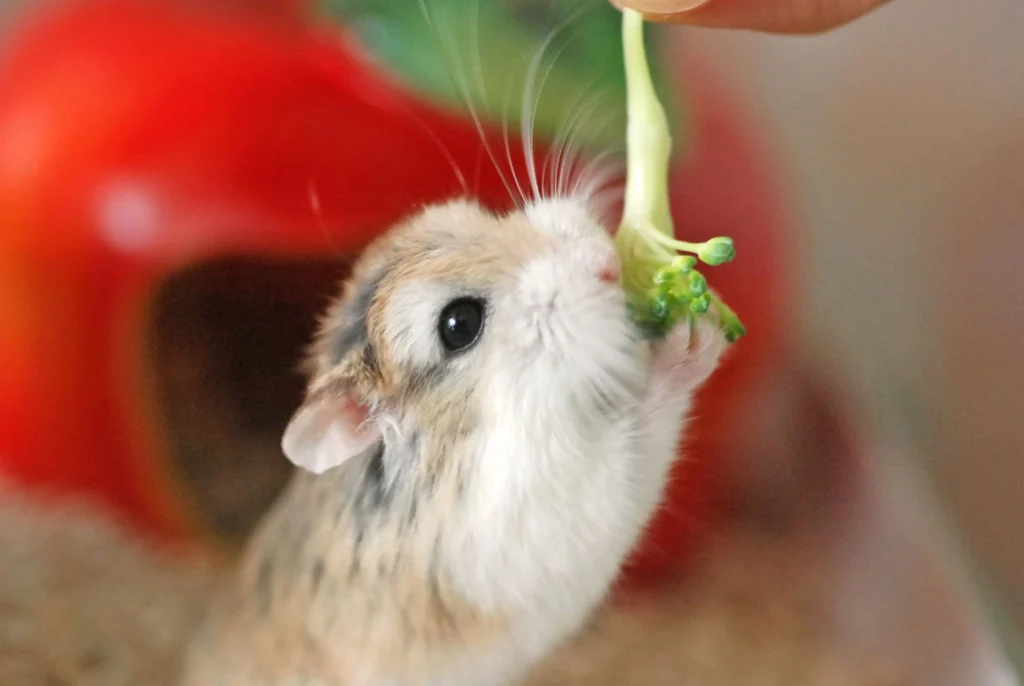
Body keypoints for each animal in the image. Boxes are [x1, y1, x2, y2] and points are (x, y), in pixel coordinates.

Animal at [179, 196, 728, 686]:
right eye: (459, 325)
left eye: (475, 216)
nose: (607, 265)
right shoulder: (541, 510)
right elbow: (635, 443)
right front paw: (693, 340)